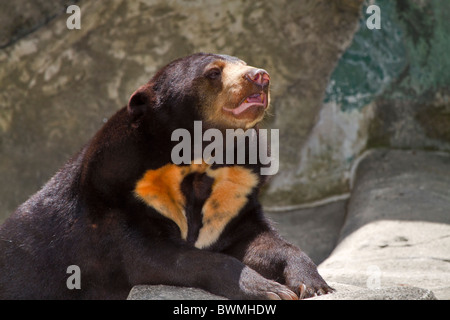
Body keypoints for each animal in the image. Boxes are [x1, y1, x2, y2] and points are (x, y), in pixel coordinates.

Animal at [0, 53, 330, 300]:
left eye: (245, 62)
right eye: (214, 73)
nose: (261, 76)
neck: (202, 157)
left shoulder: (237, 191)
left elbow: (258, 240)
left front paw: (312, 285)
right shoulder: (120, 197)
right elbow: (161, 257)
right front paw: (268, 289)